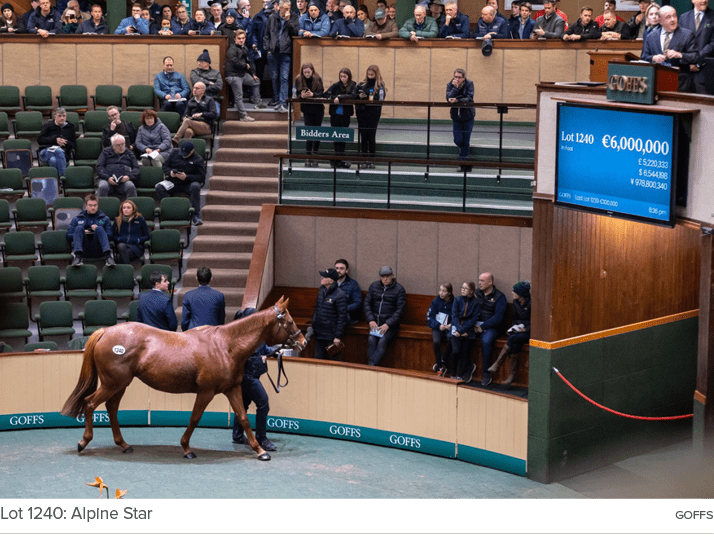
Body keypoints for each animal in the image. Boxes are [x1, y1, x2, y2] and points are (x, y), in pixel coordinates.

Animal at [60, 298, 304, 460]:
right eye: (290, 321)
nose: (302, 341)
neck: (225, 346)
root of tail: (105, 332)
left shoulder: (233, 388)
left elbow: (243, 418)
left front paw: (260, 450)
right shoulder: (206, 392)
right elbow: (195, 418)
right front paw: (186, 449)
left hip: (120, 384)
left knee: (111, 408)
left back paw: (124, 444)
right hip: (113, 383)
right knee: (90, 403)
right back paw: (83, 442)